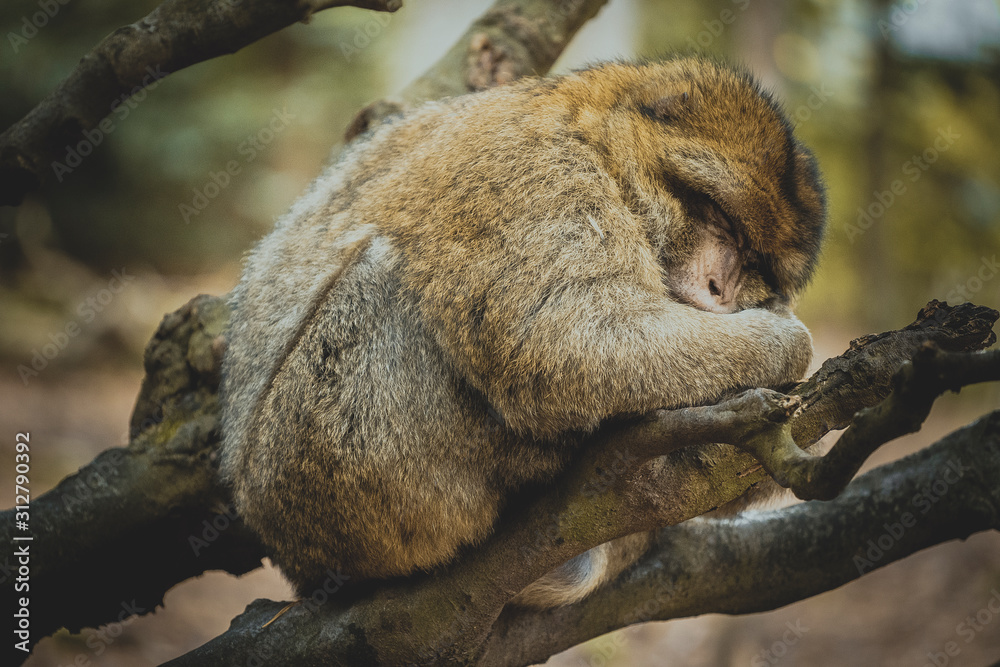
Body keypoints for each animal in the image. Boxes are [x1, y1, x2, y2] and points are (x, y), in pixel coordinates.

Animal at [219, 56, 826, 609]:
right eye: (719, 219)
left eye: (753, 261)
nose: (721, 286)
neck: (597, 140)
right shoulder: (534, 169)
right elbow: (562, 337)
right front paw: (788, 344)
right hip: (321, 479)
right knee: (381, 278)